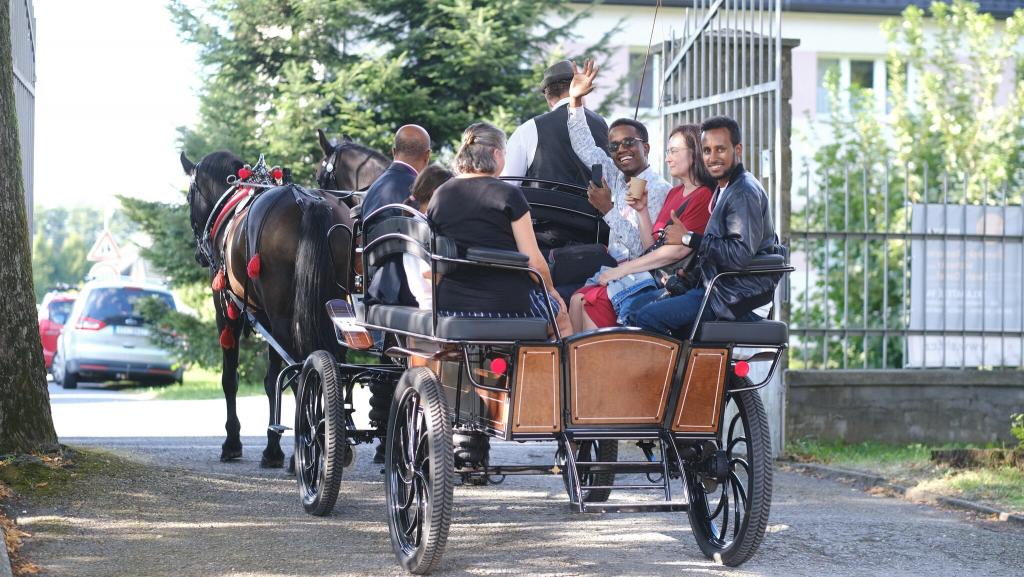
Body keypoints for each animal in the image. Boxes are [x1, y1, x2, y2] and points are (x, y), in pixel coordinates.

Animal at [182, 150, 358, 469]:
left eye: (190, 195)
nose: (200, 254)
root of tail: (308, 202)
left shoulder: (226, 309)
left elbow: (230, 379)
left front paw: (234, 443)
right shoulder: (264, 314)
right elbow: (271, 380)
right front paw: (273, 445)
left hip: (282, 315)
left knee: (301, 370)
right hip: (330, 304)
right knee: (332, 362)